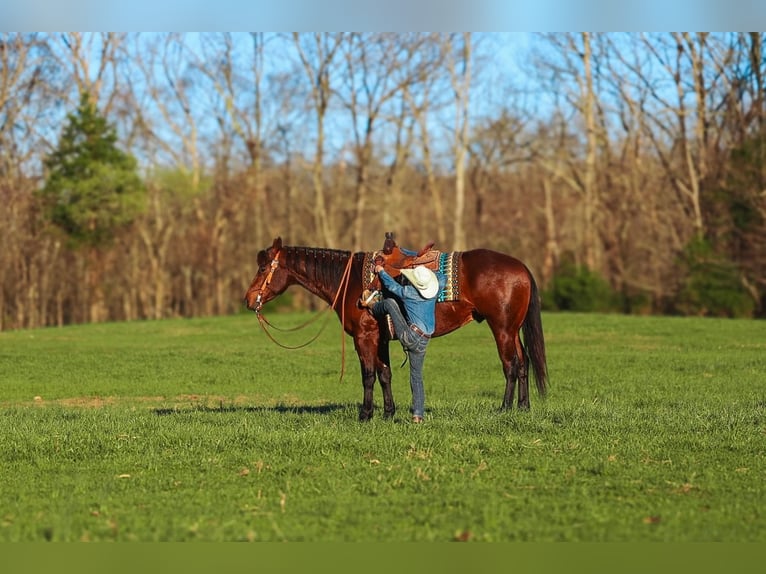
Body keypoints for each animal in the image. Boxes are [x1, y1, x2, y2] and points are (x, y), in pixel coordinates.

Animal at [243, 235, 548, 421]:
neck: (352, 280)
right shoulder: (380, 338)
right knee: (523, 363)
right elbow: (385, 374)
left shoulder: (364, 338)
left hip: (502, 329)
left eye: (262, 268)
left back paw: (505, 408)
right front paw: (388, 413)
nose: (248, 299)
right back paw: (523, 407)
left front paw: (366, 414)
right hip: (513, 329)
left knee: (510, 365)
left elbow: (368, 375)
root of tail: (521, 267)